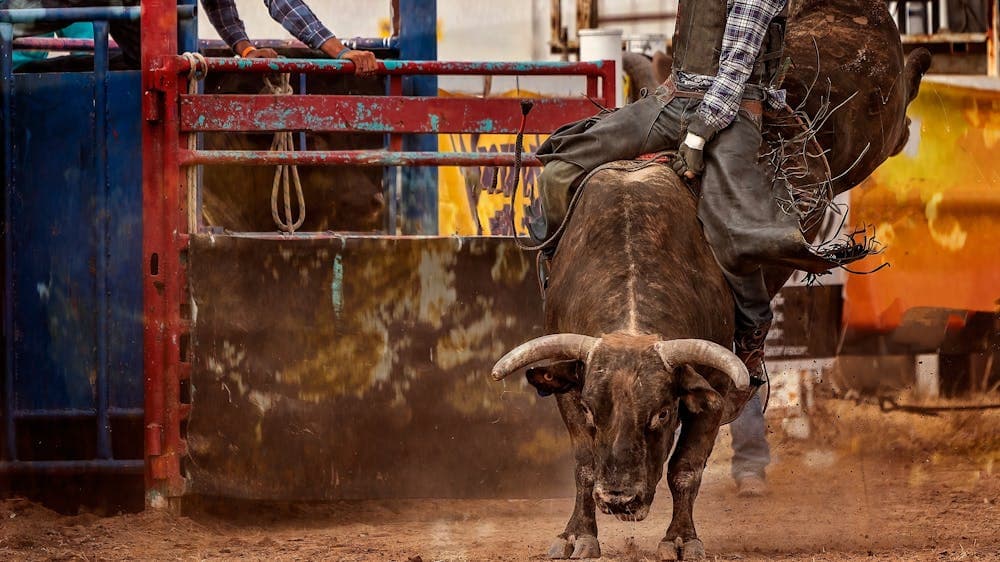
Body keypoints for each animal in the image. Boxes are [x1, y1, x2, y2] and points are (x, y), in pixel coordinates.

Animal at [492, 0, 928, 556]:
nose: (621, 500)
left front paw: (680, 540)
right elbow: (584, 464)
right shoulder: (568, 384)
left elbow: (686, 469)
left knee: (899, 114)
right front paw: (577, 535)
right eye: (594, 409)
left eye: (661, 414)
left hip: (868, 127)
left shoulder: (713, 389)